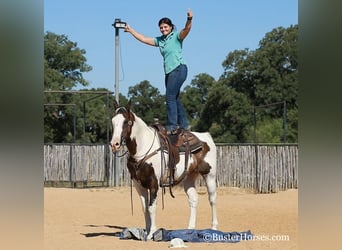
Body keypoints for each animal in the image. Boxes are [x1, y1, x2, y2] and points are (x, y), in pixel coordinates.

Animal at [109, 102, 218, 240]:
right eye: (113, 121)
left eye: (126, 122)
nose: (115, 144)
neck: (144, 147)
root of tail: (206, 136)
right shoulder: (138, 184)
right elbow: (145, 208)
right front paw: (146, 232)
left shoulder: (154, 183)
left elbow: (152, 207)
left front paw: (152, 233)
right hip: (189, 177)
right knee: (193, 199)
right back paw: (190, 229)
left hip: (210, 175)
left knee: (212, 199)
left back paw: (214, 228)